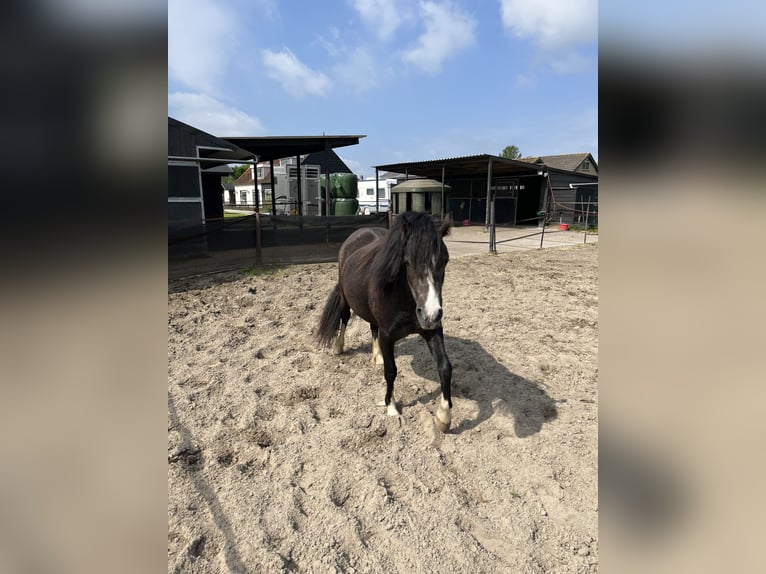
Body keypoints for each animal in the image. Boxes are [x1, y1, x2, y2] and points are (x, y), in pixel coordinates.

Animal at [318, 212, 456, 432]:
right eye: (407, 262)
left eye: (445, 261)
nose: (431, 314)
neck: (404, 298)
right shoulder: (388, 335)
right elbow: (391, 371)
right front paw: (390, 406)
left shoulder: (432, 331)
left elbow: (445, 367)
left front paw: (443, 416)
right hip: (346, 298)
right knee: (344, 318)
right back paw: (338, 347)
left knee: (372, 327)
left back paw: (377, 355)